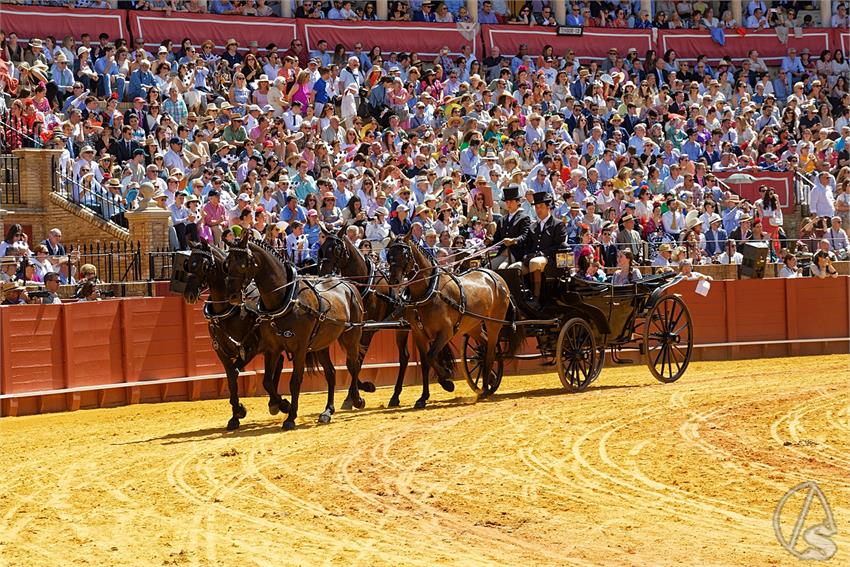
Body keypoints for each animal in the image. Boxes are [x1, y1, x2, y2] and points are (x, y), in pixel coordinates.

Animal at [225, 232, 368, 430]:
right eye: (227, 263)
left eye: (243, 263)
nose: (231, 296)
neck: (286, 299)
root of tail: (348, 284)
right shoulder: (272, 348)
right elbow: (267, 381)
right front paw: (282, 405)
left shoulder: (300, 349)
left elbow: (295, 381)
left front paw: (291, 417)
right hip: (321, 345)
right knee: (331, 373)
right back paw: (327, 411)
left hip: (351, 337)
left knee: (353, 365)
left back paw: (355, 399)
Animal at [384, 234, 510, 408]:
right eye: (389, 255)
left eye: (405, 255)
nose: (394, 280)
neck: (429, 292)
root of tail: (495, 275)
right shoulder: (419, 334)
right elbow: (425, 362)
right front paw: (423, 397)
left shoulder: (446, 332)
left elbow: (431, 356)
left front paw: (447, 380)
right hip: (474, 326)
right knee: (485, 348)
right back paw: (490, 381)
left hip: (494, 324)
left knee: (490, 351)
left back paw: (484, 389)